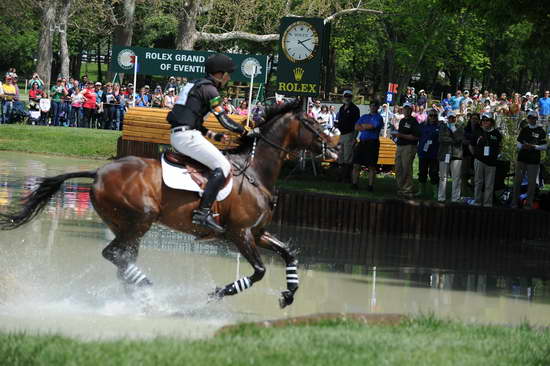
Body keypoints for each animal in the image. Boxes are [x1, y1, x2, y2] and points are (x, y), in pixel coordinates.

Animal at [0, 101, 340, 308]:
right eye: (312, 123)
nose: (334, 150)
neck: (255, 172)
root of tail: (97, 172)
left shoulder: (257, 234)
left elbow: (289, 253)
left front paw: (289, 294)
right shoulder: (240, 234)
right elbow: (258, 272)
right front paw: (217, 293)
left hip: (127, 226)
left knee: (121, 260)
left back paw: (140, 297)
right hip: (141, 219)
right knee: (113, 255)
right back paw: (147, 289)